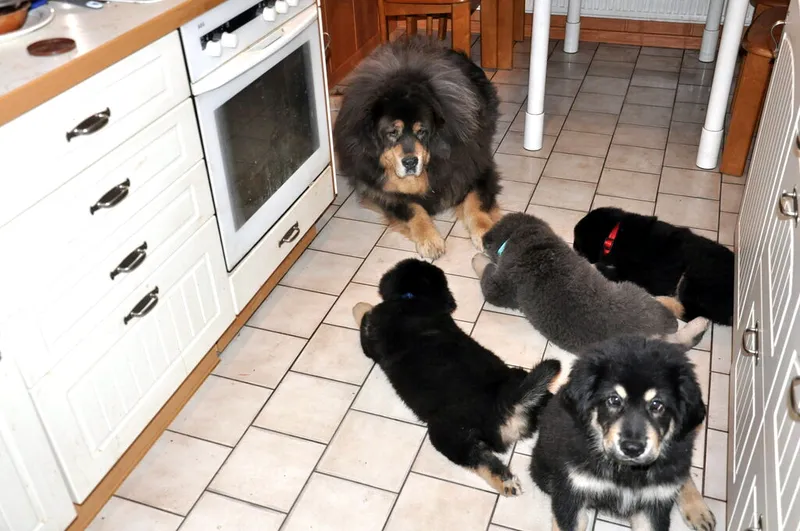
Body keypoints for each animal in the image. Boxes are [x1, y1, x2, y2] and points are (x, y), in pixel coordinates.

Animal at [333, 37, 502, 259]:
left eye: (422, 131)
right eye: (392, 133)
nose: (411, 162)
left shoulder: (475, 169)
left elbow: (476, 203)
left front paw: (486, 233)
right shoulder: (383, 192)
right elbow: (414, 209)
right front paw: (430, 239)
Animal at [352, 259, 562, 495]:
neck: (413, 299)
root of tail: (507, 403)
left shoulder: (370, 339)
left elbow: (363, 313)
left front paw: (360, 304)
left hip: (448, 435)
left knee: (480, 460)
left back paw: (505, 482)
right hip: (528, 383)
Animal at [529, 324, 716, 531]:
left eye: (657, 405)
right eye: (614, 400)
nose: (632, 448)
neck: (625, 471)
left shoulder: (652, 505)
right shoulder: (572, 490)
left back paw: (697, 508)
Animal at [573, 207, 734, 326]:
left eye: (577, 242)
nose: (573, 246)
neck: (614, 234)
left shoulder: (635, 273)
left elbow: (606, 270)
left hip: (693, 279)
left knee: (690, 314)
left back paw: (661, 300)